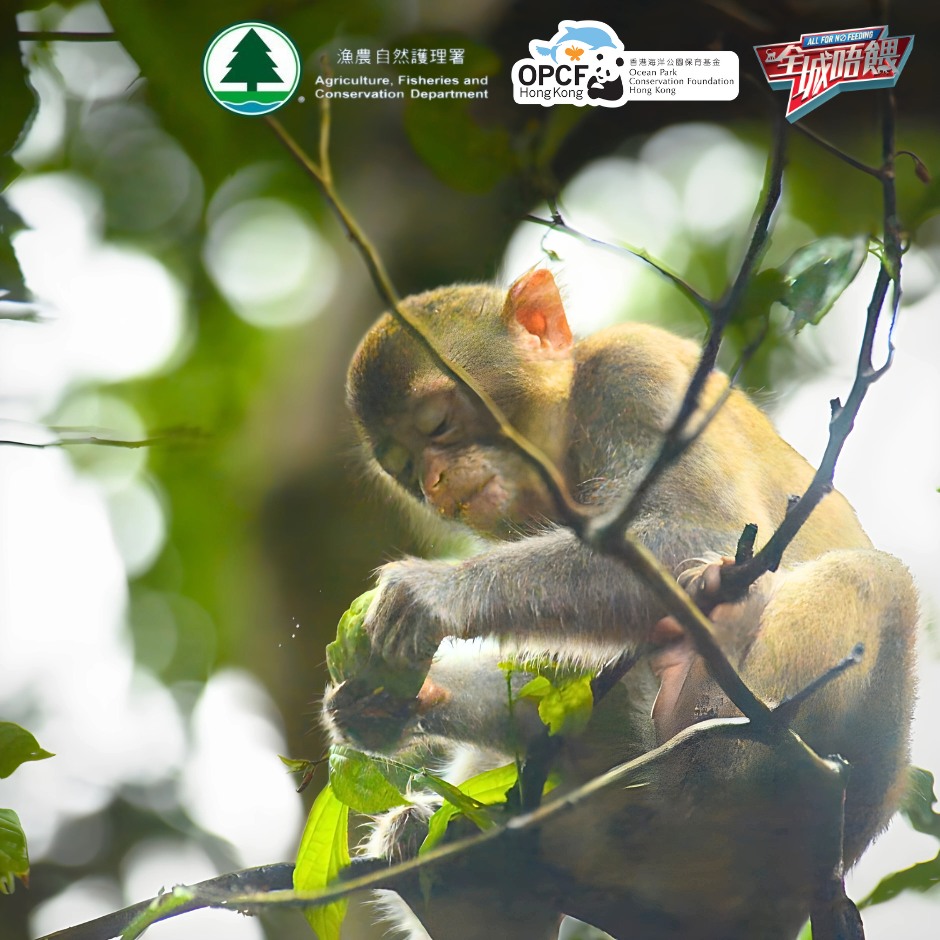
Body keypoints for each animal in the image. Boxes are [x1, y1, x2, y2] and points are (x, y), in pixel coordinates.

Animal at [322, 268, 917, 939]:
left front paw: (434, 593)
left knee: (876, 580)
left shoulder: (634, 374)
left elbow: (698, 530)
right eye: (405, 467)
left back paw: (722, 737)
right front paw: (385, 704)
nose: (435, 484)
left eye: (437, 424)